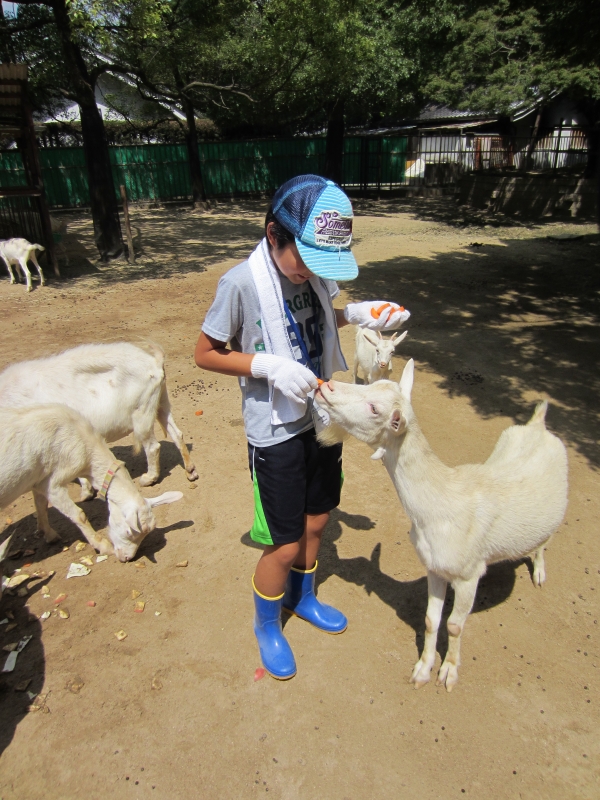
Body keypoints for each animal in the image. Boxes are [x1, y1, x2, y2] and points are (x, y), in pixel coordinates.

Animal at [0, 338, 199, 494]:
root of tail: (155, 362)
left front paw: (86, 491)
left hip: (142, 412)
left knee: (152, 447)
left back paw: (148, 478)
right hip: (161, 402)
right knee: (176, 433)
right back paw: (190, 470)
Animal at [0, 406, 182, 564]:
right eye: (128, 531)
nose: (127, 558)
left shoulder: (38, 481)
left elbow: (40, 504)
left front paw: (48, 534)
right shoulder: (53, 484)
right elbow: (79, 514)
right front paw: (103, 546)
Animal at [316, 366, 568, 692]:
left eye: (375, 409)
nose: (327, 386)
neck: (442, 503)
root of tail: (538, 425)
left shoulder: (468, 574)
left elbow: (455, 624)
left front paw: (449, 672)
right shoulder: (434, 567)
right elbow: (430, 620)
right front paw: (422, 670)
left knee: (543, 541)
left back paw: (538, 573)